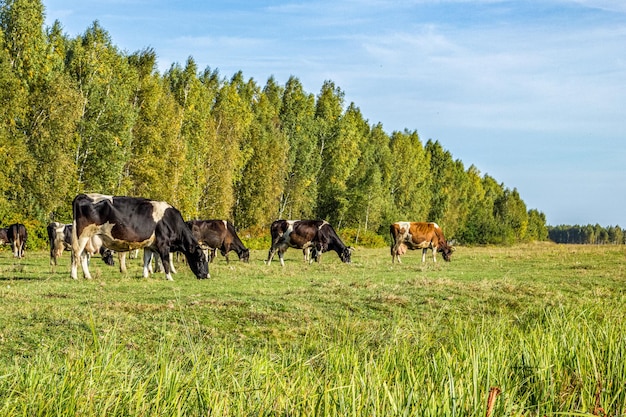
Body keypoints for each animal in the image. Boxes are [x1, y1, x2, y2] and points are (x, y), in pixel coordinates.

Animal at [70, 194, 208, 280]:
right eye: (201, 259)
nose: (206, 276)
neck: (171, 220)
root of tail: (83, 195)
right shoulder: (163, 244)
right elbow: (165, 261)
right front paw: (169, 278)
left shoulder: (149, 245)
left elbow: (147, 260)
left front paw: (145, 275)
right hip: (81, 236)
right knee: (76, 254)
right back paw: (74, 276)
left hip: (88, 239)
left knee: (83, 256)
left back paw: (88, 276)